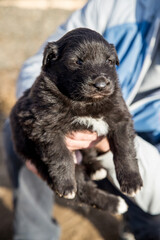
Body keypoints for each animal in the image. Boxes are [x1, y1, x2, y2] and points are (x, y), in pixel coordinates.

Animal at [10, 27, 142, 214]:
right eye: (78, 61)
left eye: (109, 61)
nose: (101, 85)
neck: (85, 102)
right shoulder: (46, 127)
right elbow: (60, 155)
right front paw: (65, 185)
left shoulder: (119, 117)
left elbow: (125, 149)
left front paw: (132, 181)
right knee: (83, 190)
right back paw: (115, 203)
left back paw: (96, 169)